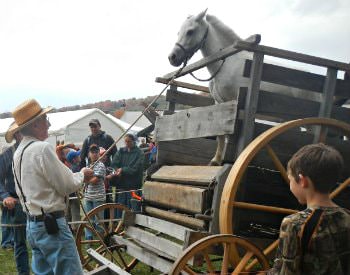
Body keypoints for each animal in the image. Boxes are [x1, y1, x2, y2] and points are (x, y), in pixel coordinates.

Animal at [170, 9, 322, 166]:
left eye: (190, 31)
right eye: (179, 32)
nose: (172, 57)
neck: (227, 62)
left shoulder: (234, 102)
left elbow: (229, 132)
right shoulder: (219, 103)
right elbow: (220, 134)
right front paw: (216, 160)